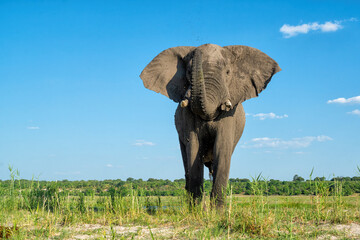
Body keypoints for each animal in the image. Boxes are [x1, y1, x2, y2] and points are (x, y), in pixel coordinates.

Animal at [139, 44, 280, 207]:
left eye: (227, 72)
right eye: (188, 72)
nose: (198, 50)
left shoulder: (229, 115)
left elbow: (222, 150)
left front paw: (217, 211)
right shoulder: (187, 117)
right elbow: (193, 150)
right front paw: (197, 210)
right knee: (187, 164)